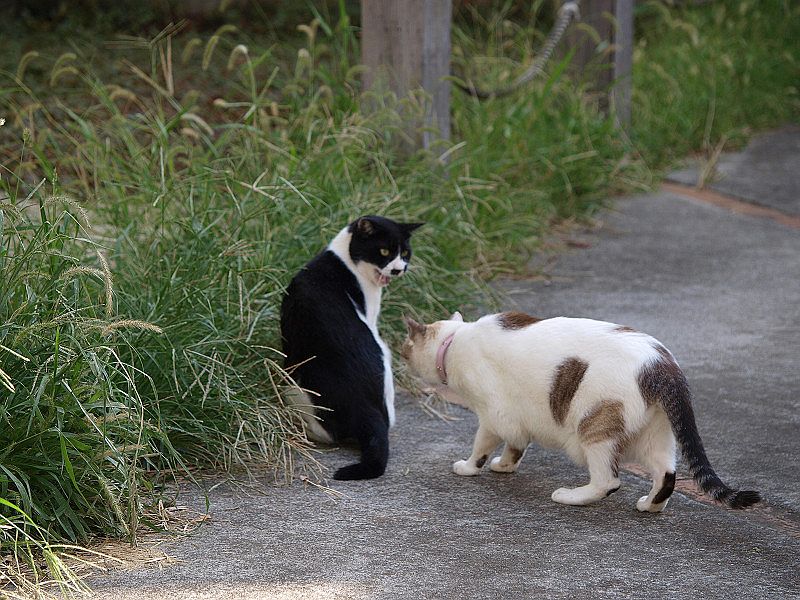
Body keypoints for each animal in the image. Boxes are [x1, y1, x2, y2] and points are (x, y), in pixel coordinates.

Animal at [404, 312, 760, 512]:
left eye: (406, 346)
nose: (400, 353)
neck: (456, 339)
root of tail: (663, 365)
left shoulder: (494, 416)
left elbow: (482, 446)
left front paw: (468, 467)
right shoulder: (517, 419)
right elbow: (516, 447)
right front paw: (505, 466)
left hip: (594, 427)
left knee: (608, 480)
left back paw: (570, 496)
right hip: (655, 432)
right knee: (667, 474)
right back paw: (650, 506)